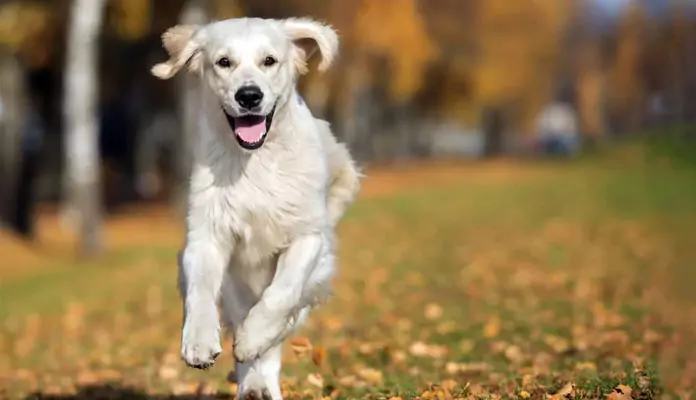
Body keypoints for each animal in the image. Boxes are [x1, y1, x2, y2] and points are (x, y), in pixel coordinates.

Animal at [151, 16, 358, 400]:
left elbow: (282, 292)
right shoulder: (206, 235)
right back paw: (252, 384)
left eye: (269, 61)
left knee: (287, 316)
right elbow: (201, 290)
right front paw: (198, 343)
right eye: (223, 62)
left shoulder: (308, 237)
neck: (255, 161)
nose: (249, 95)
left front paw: (253, 338)